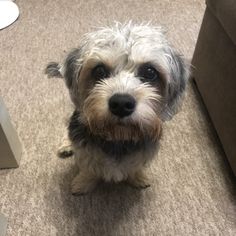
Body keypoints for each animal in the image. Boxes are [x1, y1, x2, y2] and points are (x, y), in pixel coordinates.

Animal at [45, 22, 190, 195]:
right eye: (99, 70)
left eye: (150, 72)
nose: (121, 104)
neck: (118, 136)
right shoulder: (85, 150)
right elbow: (88, 168)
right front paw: (83, 182)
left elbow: (135, 167)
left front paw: (138, 177)